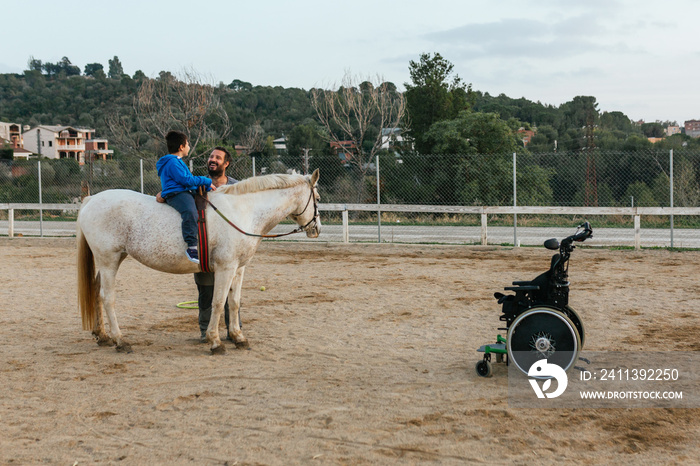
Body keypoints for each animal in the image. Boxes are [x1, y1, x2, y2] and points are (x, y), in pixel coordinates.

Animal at [76, 169, 320, 354]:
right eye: (317, 199)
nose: (316, 229)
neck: (243, 211)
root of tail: (91, 200)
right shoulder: (225, 267)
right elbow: (218, 302)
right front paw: (215, 341)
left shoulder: (238, 268)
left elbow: (234, 302)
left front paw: (238, 337)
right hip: (109, 260)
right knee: (107, 298)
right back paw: (120, 340)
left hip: (111, 260)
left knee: (96, 291)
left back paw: (102, 335)